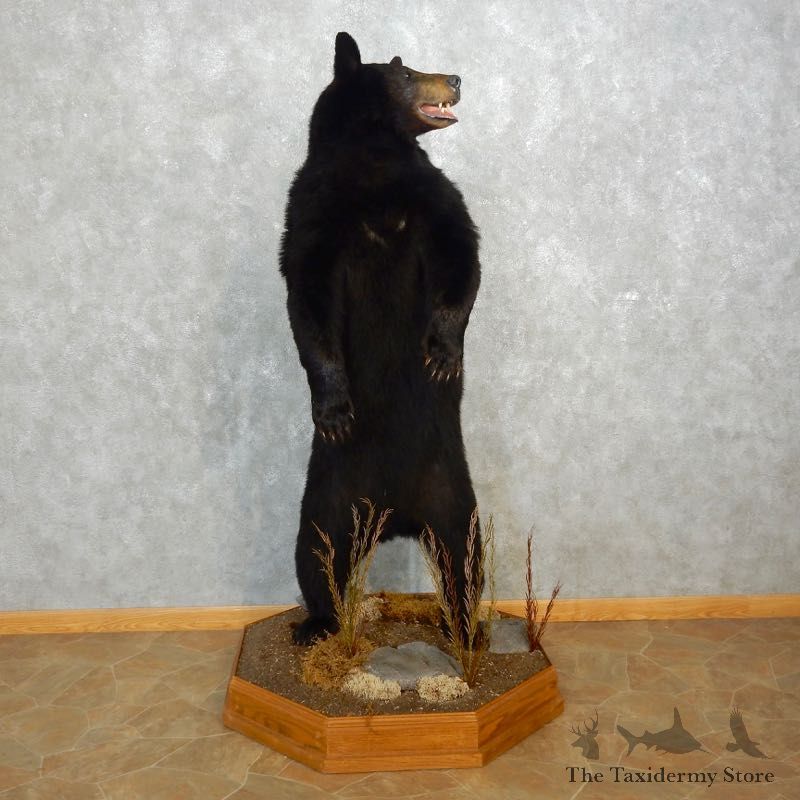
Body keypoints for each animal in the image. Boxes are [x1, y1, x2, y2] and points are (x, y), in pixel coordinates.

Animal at [279, 32, 481, 646]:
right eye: (408, 72)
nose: (457, 77)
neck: (373, 170)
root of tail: (396, 518)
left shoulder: (430, 197)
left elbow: (462, 255)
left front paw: (442, 355)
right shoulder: (313, 213)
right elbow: (308, 303)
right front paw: (334, 409)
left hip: (454, 496)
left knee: (466, 559)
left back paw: (465, 630)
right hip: (325, 499)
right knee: (317, 556)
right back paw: (318, 625)